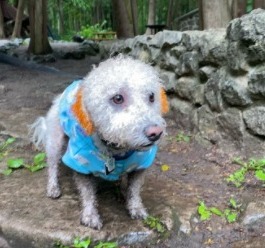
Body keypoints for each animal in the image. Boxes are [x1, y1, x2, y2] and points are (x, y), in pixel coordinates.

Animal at [30, 55, 167, 230]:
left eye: (151, 96)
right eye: (117, 98)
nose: (156, 133)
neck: (116, 150)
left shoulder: (141, 165)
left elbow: (134, 190)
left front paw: (136, 208)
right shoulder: (80, 163)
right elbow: (87, 193)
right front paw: (90, 216)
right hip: (56, 140)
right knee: (53, 165)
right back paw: (53, 187)